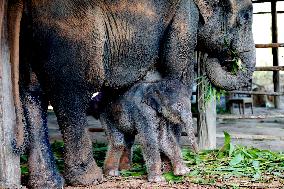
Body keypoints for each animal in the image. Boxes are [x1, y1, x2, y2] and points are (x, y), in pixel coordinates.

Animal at [7, 0, 255, 188]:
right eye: (246, 16)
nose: (227, 57)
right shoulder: (185, 14)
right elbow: (177, 71)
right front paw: (167, 168)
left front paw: (137, 166)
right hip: (70, 29)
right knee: (72, 94)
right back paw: (89, 178)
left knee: (32, 93)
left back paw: (47, 183)